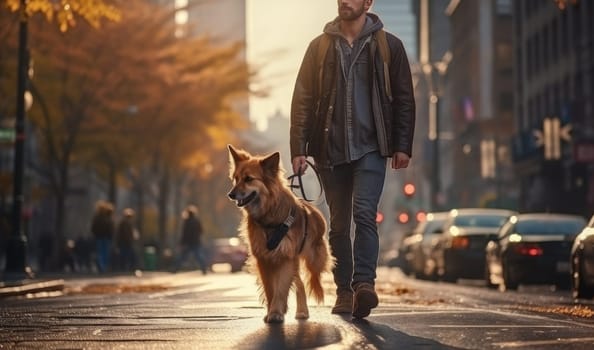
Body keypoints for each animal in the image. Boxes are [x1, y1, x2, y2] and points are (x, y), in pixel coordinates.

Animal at [225, 144, 330, 322]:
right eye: (236, 178)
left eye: (248, 179)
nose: (231, 194)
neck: (269, 214)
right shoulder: (263, 258)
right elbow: (270, 289)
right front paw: (272, 311)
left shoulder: (286, 256)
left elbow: (281, 288)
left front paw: (275, 312)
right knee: (299, 282)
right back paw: (301, 310)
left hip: (313, 259)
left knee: (312, 276)